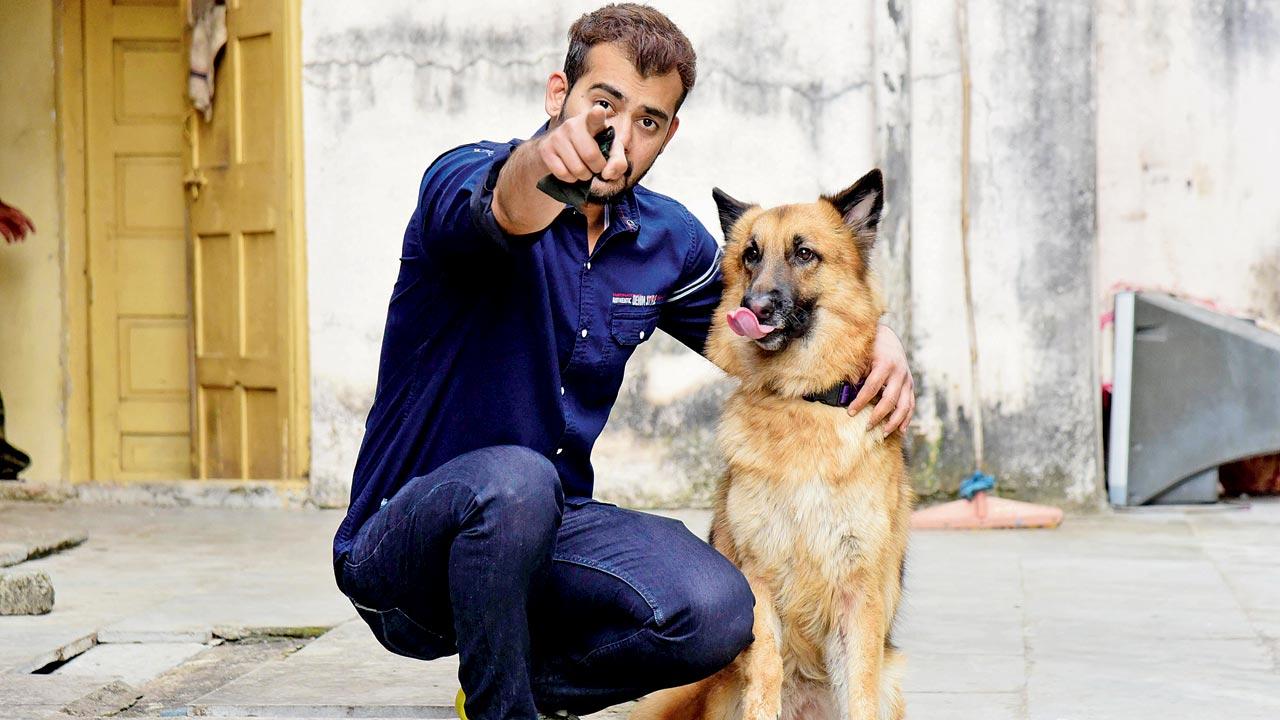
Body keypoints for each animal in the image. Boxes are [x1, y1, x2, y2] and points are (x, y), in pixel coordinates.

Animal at [629, 169, 911, 717]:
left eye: (804, 254)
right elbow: (765, 675)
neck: (799, 399)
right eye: (750, 256)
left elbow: (859, 689)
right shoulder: (757, 582)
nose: (752, 307)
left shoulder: (859, 593)